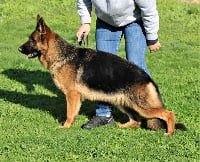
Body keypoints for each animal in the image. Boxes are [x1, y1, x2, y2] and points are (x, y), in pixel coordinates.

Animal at [18, 15, 187, 136]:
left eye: (32, 40)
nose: (19, 49)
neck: (62, 55)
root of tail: (147, 77)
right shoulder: (75, 97)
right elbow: (73, 113)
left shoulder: (72, 95)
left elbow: (69, 114)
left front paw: (65, 127)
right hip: (123, 102)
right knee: (137, 121)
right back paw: (122, 126)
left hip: (141, 106)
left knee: (169, 114)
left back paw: (170, 132)